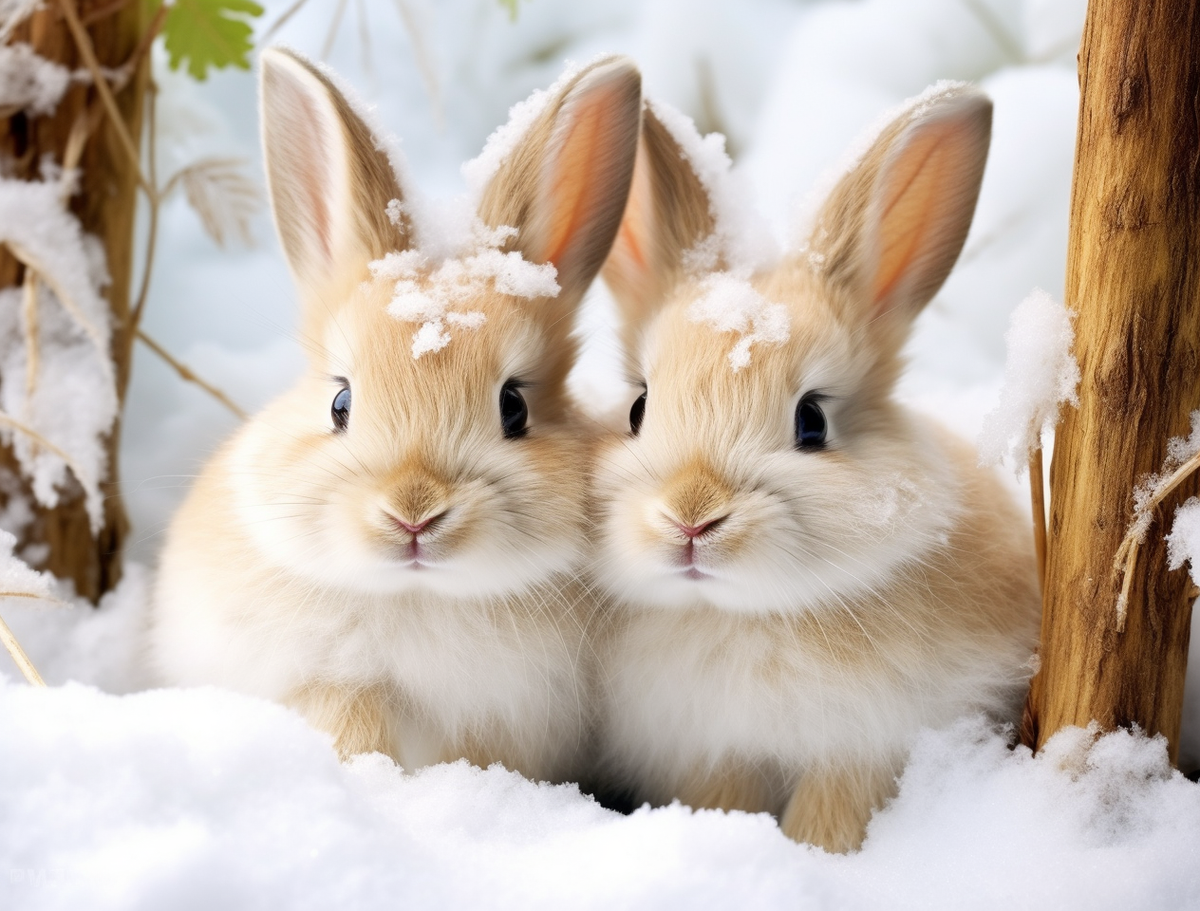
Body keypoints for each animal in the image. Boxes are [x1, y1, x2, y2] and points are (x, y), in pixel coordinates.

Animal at [150, 48, 642, 784]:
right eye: (340, 403)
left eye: (515, 407)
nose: (413, 512)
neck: (418, 594)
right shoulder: (335, 683)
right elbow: (353, 720)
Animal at [591, 84, 1041, 852]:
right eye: (638, 408)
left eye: (813, 422)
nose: (691, 517)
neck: (742, 614)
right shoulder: (716, 754)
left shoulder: (861, 754)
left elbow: (831, 818)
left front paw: (815, 857)